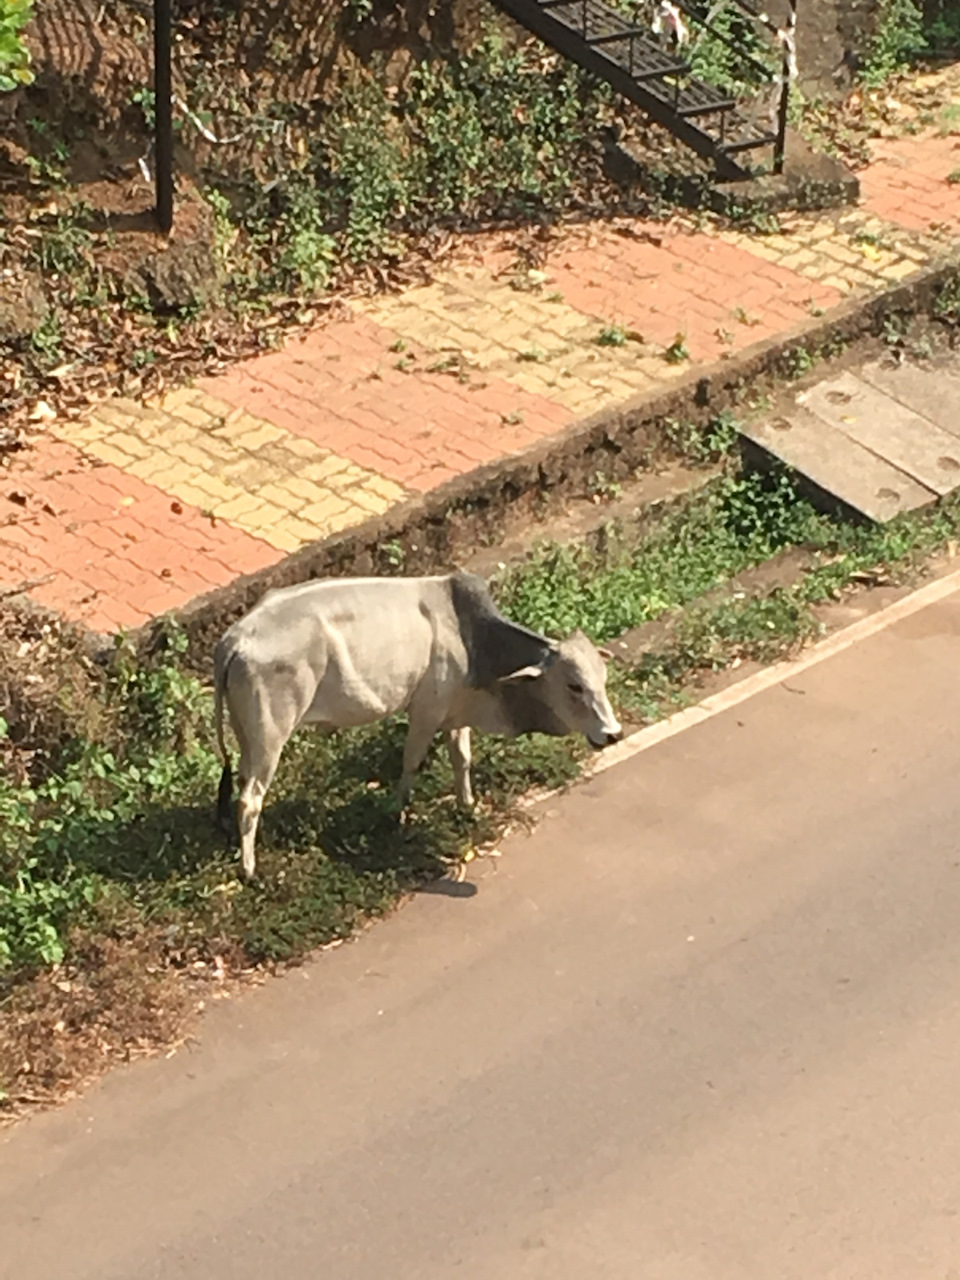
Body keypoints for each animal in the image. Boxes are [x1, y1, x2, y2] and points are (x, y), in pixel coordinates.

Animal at [213, 573, 624, 880]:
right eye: (574, 685)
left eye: (603, 678)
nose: (613, 733)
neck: (473, 639)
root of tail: (234, 639)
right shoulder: (426, 711)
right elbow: (411, 762)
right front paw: (396, 812)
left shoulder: (456, 711)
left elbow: (462, 758)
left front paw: (467, 806)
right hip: (271, 737)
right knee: (250, 800)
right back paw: (249, 870)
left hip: (248, 737)